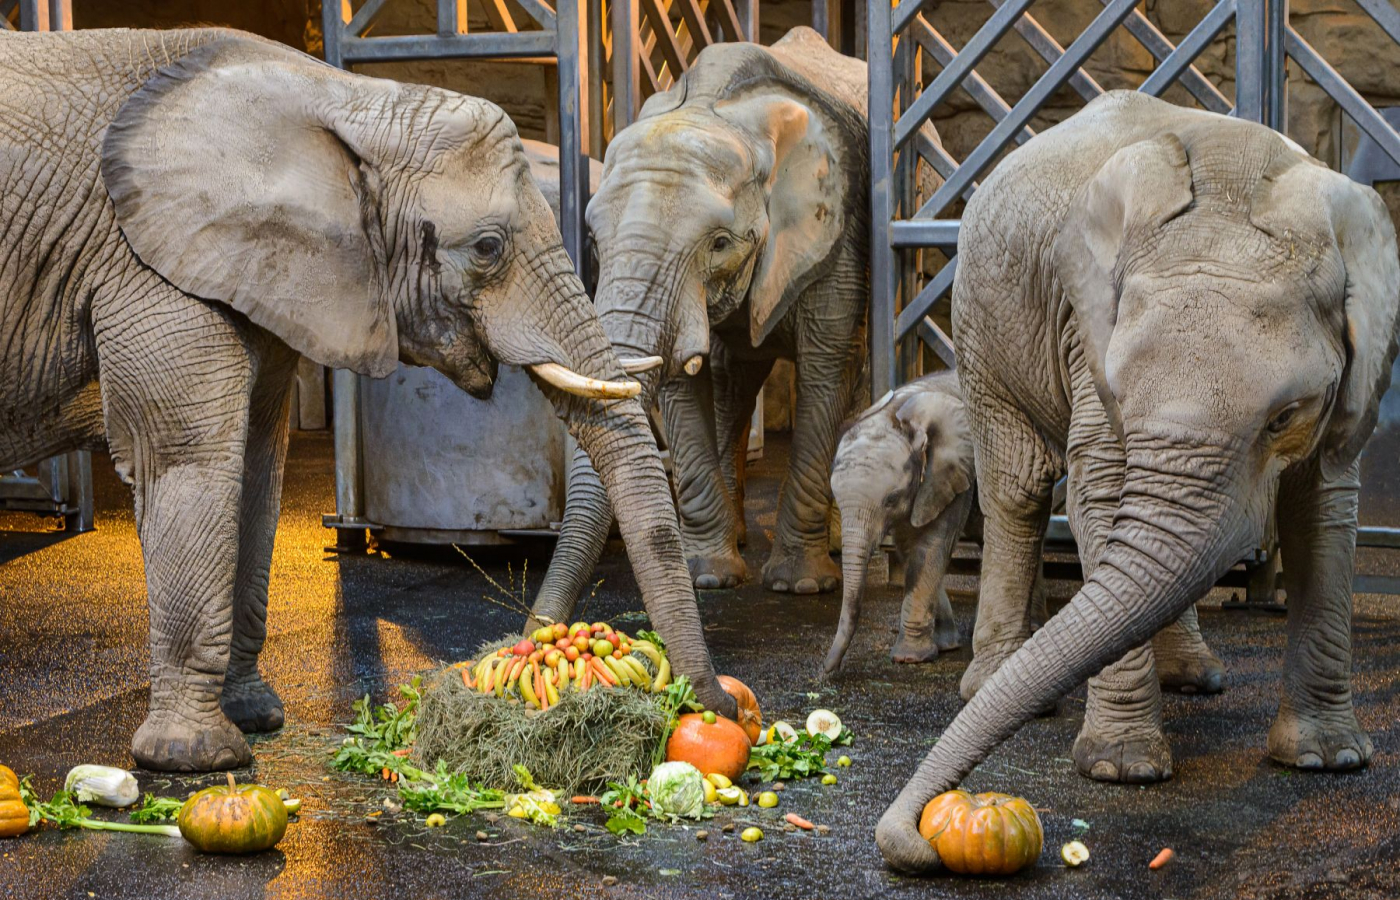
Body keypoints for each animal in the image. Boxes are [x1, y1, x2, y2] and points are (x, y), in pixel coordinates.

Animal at [0, 28, 739, 772]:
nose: (719, 709)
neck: (345, 100)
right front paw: (197, 759)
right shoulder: (145, 264)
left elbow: (256, 467)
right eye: (488, 247)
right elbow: (188, 460)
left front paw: (256, 718)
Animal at [817, 369, 974, 671]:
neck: (896, 413)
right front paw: (944, 646)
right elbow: (910, 549)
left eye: (891, 499)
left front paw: (908, 659)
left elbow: (929, 548)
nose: (825, 671)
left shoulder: (953, 473)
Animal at [873, 91, 1400, 873]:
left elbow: (1325, 510)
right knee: (1018, 488)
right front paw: (1120, 769)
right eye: (1117, 390)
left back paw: (1193, 677)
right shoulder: (1084, 329)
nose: (915, 839)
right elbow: (1103, 487)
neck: (1233, 176)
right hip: (980, 321)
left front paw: (1327, 760)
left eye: (1285, 416)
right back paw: (994, 680)